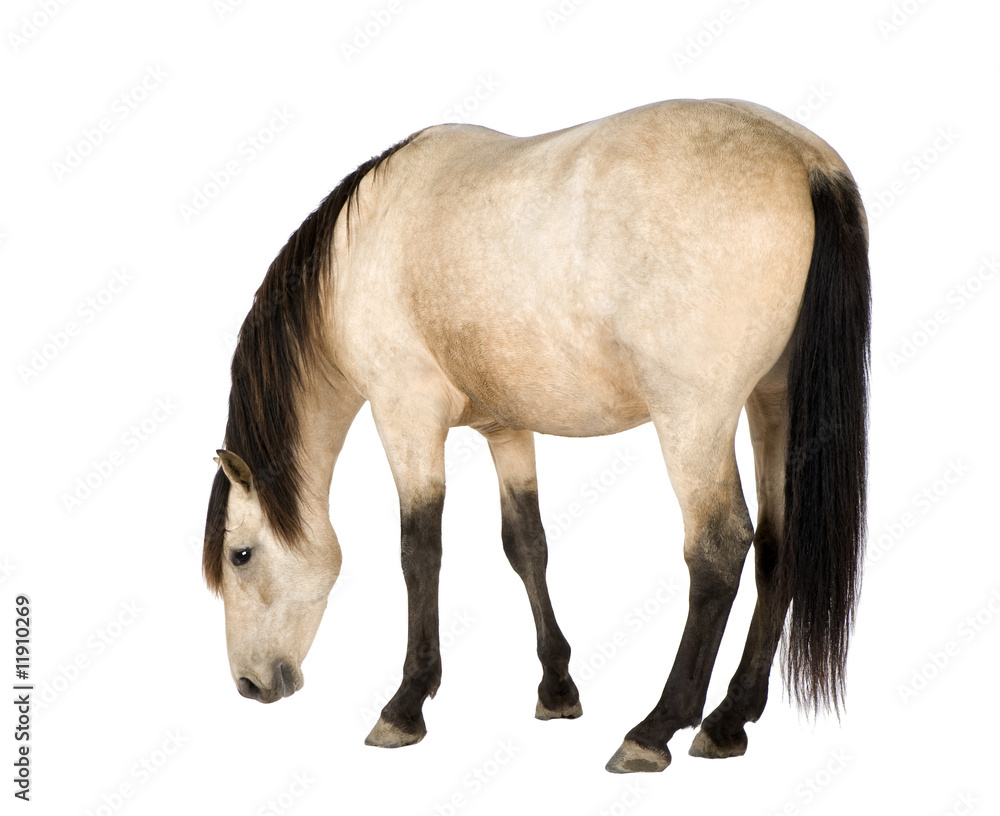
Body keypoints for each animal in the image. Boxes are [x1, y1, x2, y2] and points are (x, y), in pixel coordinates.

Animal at [203, 98, 870, 774]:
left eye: (240, 555)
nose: (249, 685)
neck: (357, 251)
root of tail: (804, 159)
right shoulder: (506, 427)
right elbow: (526, 544)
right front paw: (557, 689)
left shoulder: (404, 412)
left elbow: (419, 551)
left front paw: (406, 704)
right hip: (774, 406)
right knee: (778, 549)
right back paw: (729, 719)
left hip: (694, 420)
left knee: (717, 551)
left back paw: (655, 728)